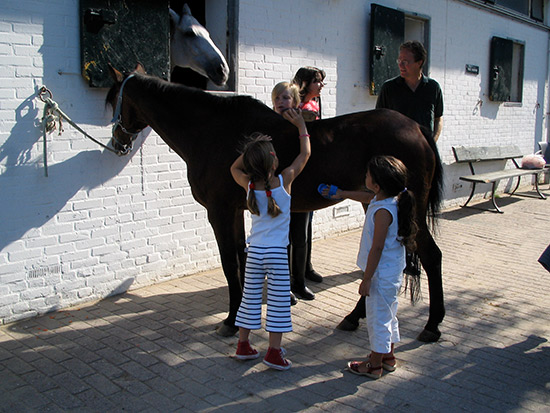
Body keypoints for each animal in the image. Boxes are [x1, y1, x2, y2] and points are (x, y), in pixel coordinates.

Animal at [105, 64, 446, 342]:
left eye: (113, 100)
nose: (117, 142)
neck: (211, 130)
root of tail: (417, 128)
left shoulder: (219, 211)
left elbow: (230, 263)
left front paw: (230, 322)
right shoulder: (236, 211)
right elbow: (241, 259)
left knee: (431, 256)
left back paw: (431, 326)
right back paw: (353, 318)